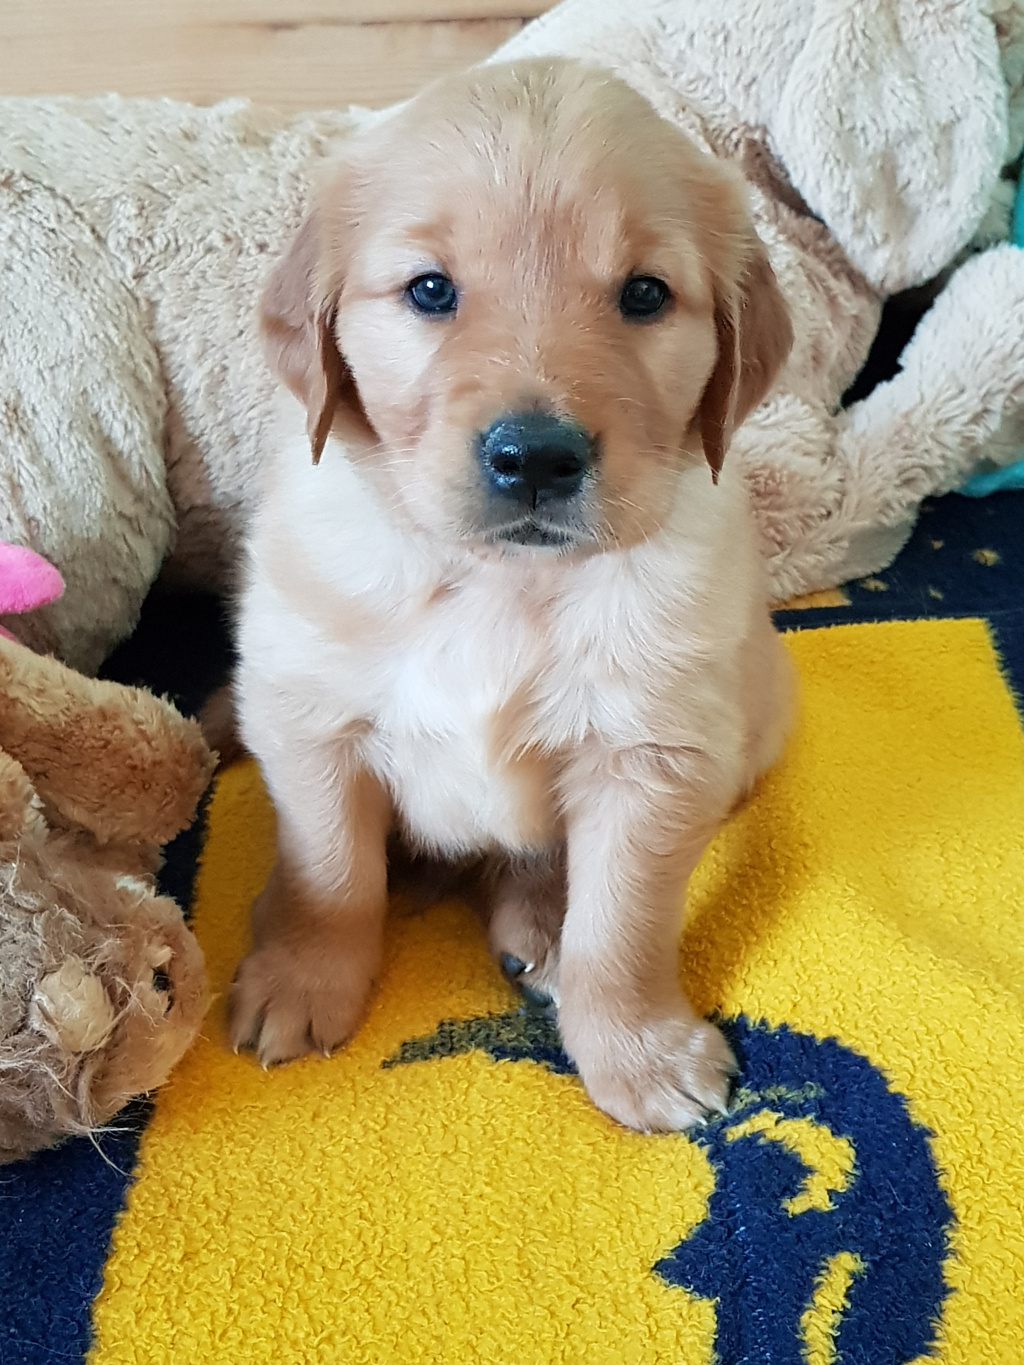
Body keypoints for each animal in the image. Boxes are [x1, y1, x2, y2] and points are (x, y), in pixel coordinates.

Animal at [228, 57, 794, 1133]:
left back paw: (539, 929)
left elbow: (621, 923)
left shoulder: (656, 756)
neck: (501, 583)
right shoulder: (308, 714)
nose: (535, 457)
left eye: (645, 294)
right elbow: (335, 869)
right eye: (430, 289)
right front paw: (302, 978)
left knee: (539, 865)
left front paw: (637, 1050)